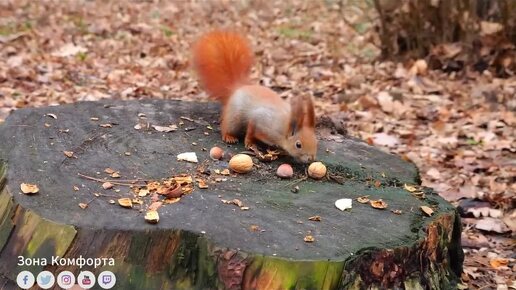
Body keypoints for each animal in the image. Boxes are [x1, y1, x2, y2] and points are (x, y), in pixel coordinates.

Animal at [191, 30, 316, 164]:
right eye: (298, 145)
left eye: (316, 141)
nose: (311, 158)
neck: (284, 128)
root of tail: (238, 87)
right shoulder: (261, 121)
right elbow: (251, 130)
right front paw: (250, 143)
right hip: (234, 117)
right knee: (227, 126)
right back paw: (229, 136)